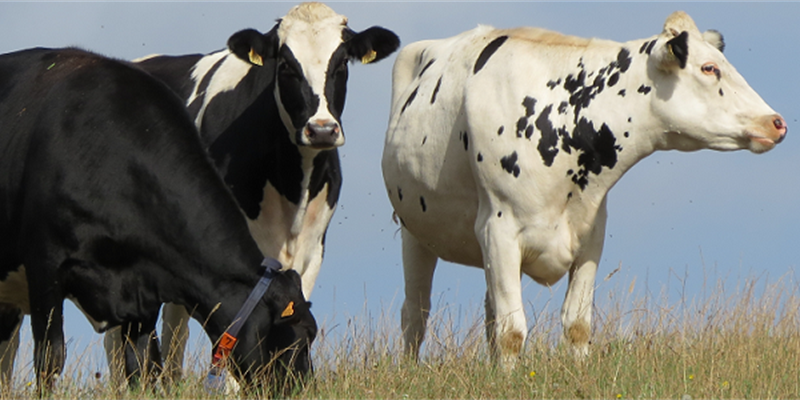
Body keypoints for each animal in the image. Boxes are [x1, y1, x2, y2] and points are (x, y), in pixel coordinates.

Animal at [0, 46, 318, 388]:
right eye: (304, 334)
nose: (307, 388)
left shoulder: (143, 291)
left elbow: (143, 366)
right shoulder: (45, 267)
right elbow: (50, 359)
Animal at [123, 0, 398, 384]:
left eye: (342, 62)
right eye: (285, 65)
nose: (321, 130)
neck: (292, 188)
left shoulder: (312, 249)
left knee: (175, 324)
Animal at [382, 10, 788, 368]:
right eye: (709, 68)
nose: (777, 122)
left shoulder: (591, 233)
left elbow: (576, 324)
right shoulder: (498, 228)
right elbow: (512, 331)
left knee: (486, 312)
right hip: (414, 232)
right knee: (415, 313)